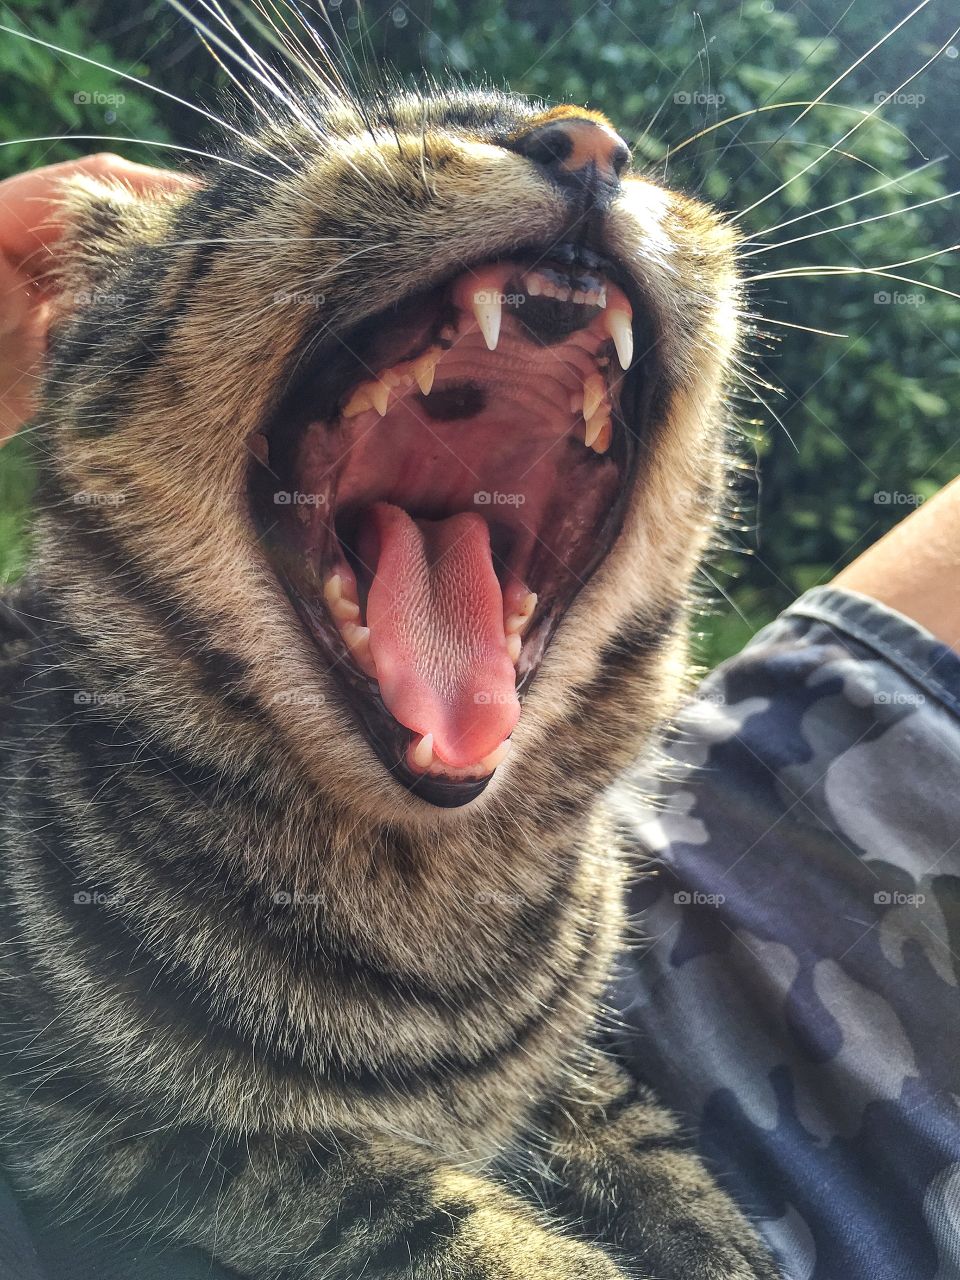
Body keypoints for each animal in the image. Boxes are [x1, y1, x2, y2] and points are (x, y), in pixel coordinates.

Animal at [0, 82, 783, 1280]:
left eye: (631, 157)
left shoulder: (583, 1074)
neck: (429, 906)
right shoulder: (102, 1139)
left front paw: (719, 1237)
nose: (588, 140)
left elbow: (647, 1135)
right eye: (357, 136)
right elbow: (400, 1197)